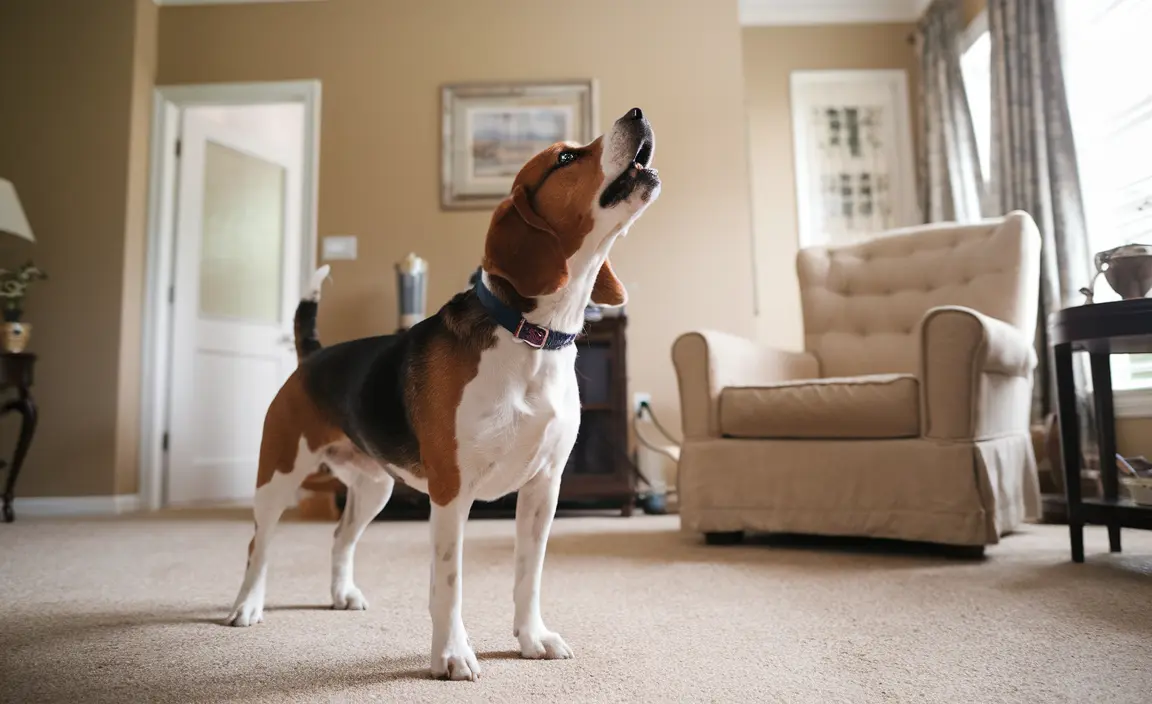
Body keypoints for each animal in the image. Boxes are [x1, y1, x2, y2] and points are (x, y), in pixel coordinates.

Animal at [226, 107, 661, 681]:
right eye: (566, 157)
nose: (637, 113)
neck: (530, 336)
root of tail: (312, 355)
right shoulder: (452, 491)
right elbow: (449, 585)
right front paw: (452, 655)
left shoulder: (544, 487)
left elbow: (528, 575)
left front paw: (532, 638)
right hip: (278, 474)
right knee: (259, 542)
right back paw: (247, 606)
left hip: (375, 488)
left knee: (340, 537)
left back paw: (342, 594)